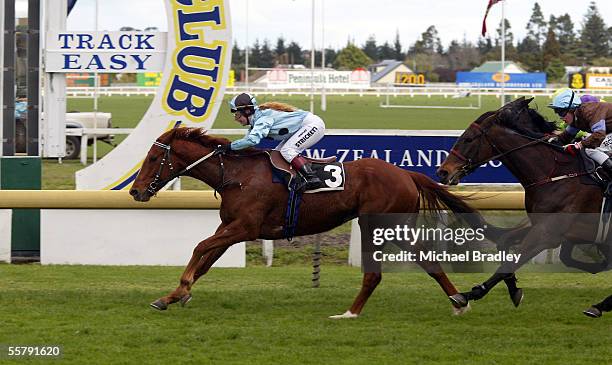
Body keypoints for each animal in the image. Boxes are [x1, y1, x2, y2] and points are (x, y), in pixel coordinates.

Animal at [130, 126, 506, 318]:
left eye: (153, 157)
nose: (135, 191)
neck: (236, 174)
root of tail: (407, 174)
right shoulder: (231, 228)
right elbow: (206, 259)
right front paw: (174, 295)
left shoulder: (244, 228)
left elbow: (199, 247)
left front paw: (179, 290)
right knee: (423, 262)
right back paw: (457, 301)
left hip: (377, 224)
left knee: (381, 272)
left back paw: (352, 313)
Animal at [438, 96, 608, 312]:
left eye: (468, 139)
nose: (443, 171)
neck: (553, 173)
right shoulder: (541, 225)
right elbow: (505, 242)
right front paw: (513, 288)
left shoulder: (547, 234)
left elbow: (510, 263)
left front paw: (468, 295)